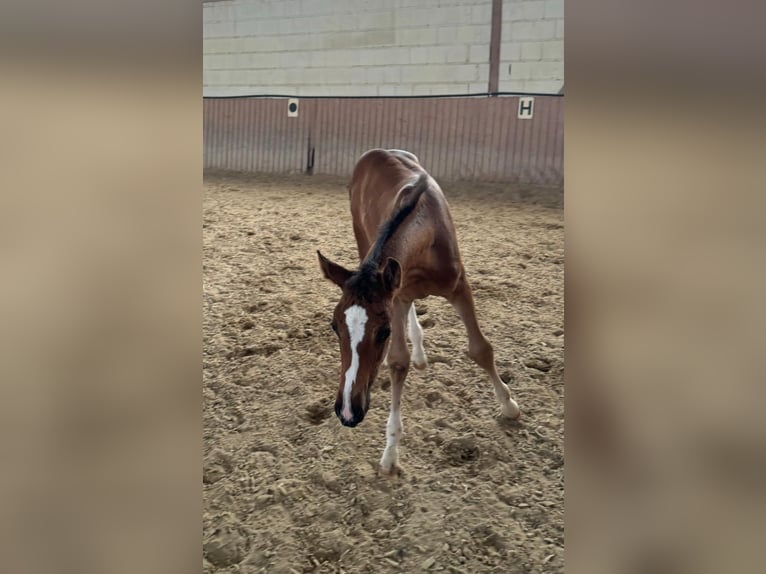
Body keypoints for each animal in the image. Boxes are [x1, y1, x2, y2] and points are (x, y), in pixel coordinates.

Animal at [318, 150, 520, 476]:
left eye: (383, 332)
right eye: (335, 327)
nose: (348, 411)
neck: (427, 232)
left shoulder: (459, 287)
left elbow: (481, 349)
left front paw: (509, 405)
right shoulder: (397, 295)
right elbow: (398, 362)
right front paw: (390, 453)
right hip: (362, 236)